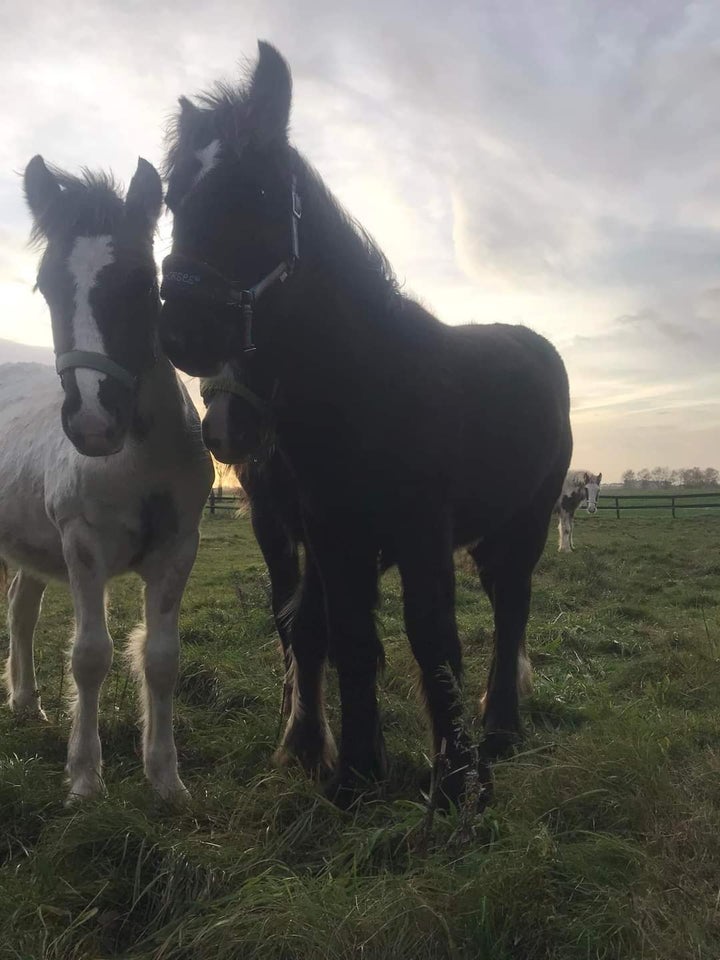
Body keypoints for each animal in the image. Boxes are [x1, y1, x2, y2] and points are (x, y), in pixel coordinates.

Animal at [159, 43, 572, 808]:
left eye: (258, 192)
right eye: (173, 198)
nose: (180, 331)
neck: (369, 386)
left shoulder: (421, 528)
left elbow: (433, 638)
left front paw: (458, 781)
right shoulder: (330, 532)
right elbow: (343, 635)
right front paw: (351, 773)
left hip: (528, 517)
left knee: (512, 607)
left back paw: (500, 728)